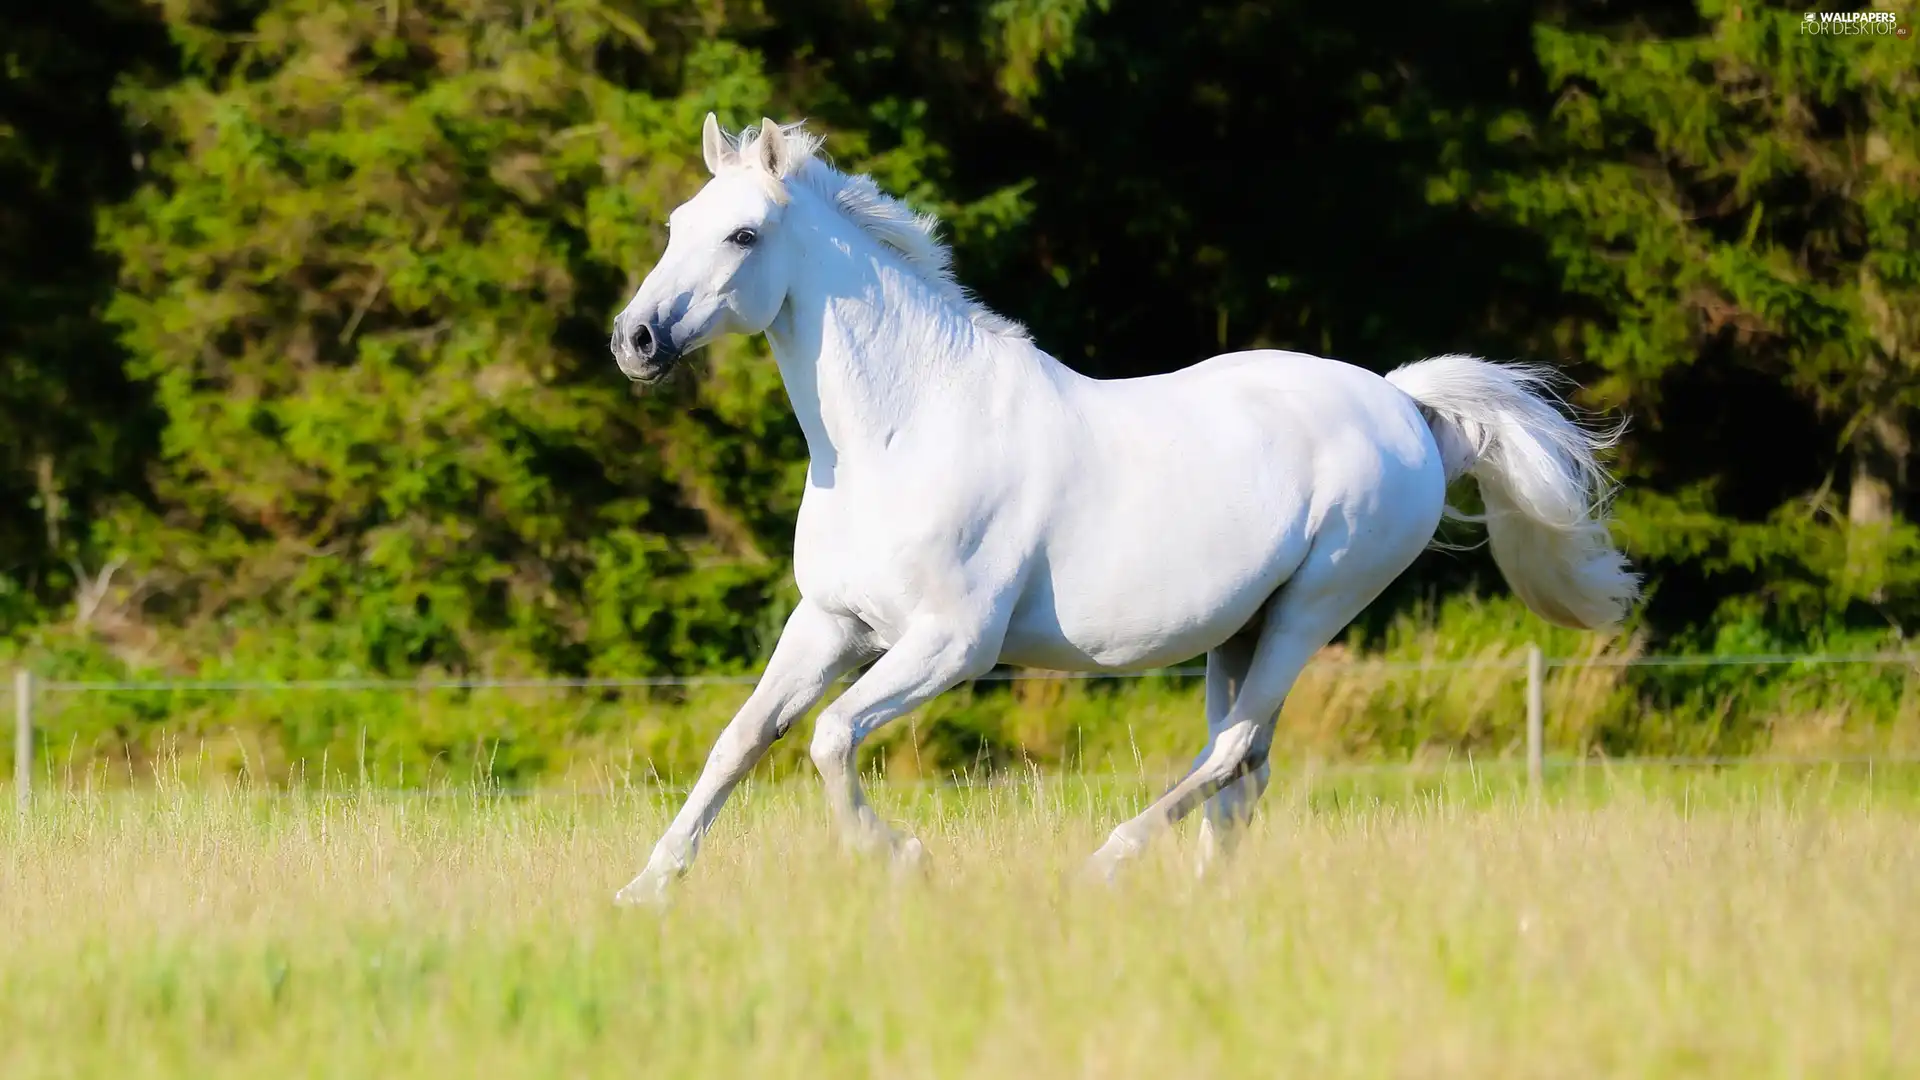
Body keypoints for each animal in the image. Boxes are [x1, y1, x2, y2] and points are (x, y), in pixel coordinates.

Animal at [602, 113, 1635, 899]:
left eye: (743, 236)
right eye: (677, 222)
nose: (635, 340)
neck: (902, 434)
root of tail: (1402, 402)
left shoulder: (950, 645)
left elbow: (827, 738)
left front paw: (903, 859)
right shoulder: (831, 623)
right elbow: (742, 740)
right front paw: (646, 888)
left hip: (1314, 609)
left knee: (1231, 752)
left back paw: (1108, 863)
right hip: (1243, 629)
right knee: (1244, 766)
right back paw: (1206, 898)